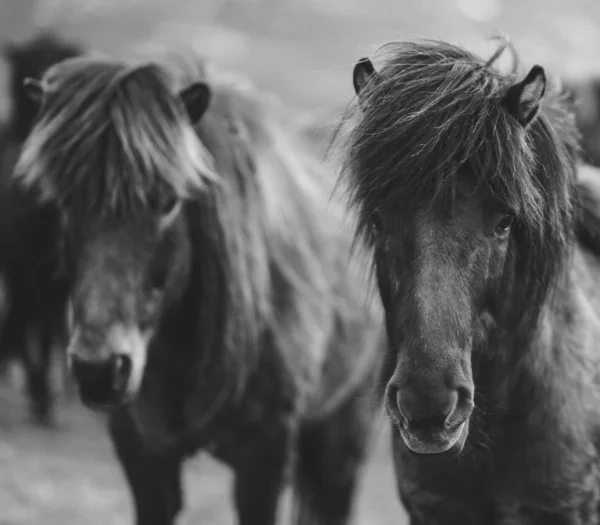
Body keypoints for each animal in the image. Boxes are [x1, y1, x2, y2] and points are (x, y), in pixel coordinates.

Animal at [15, 50, 390, 524]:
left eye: (168, 201)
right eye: (64, 202)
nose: (99, 370)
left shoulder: (264, 457)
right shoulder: (143, 456)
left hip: (343, 436)